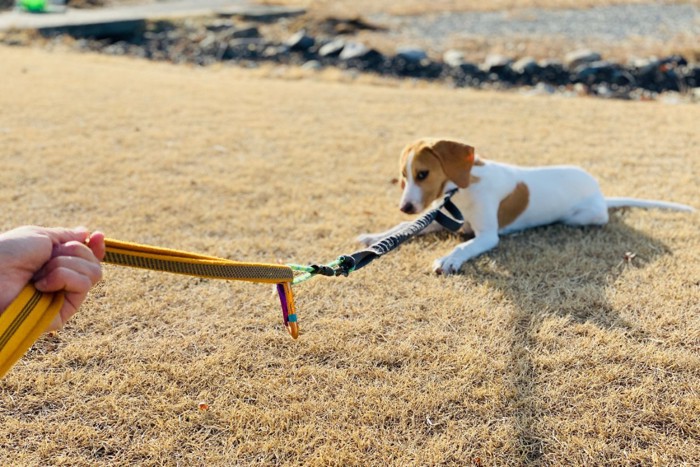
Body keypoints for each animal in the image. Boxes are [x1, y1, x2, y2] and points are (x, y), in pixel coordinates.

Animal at [360, 137, 696, 274]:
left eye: (423, 174)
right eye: (403, 176)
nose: (405, 207)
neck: (463, 190)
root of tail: (601, 194)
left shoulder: (485, 235)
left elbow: (463, 246)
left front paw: (449, 260)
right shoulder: (447, 220)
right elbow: (407, 228)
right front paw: (375, 237)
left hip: (584, 217)